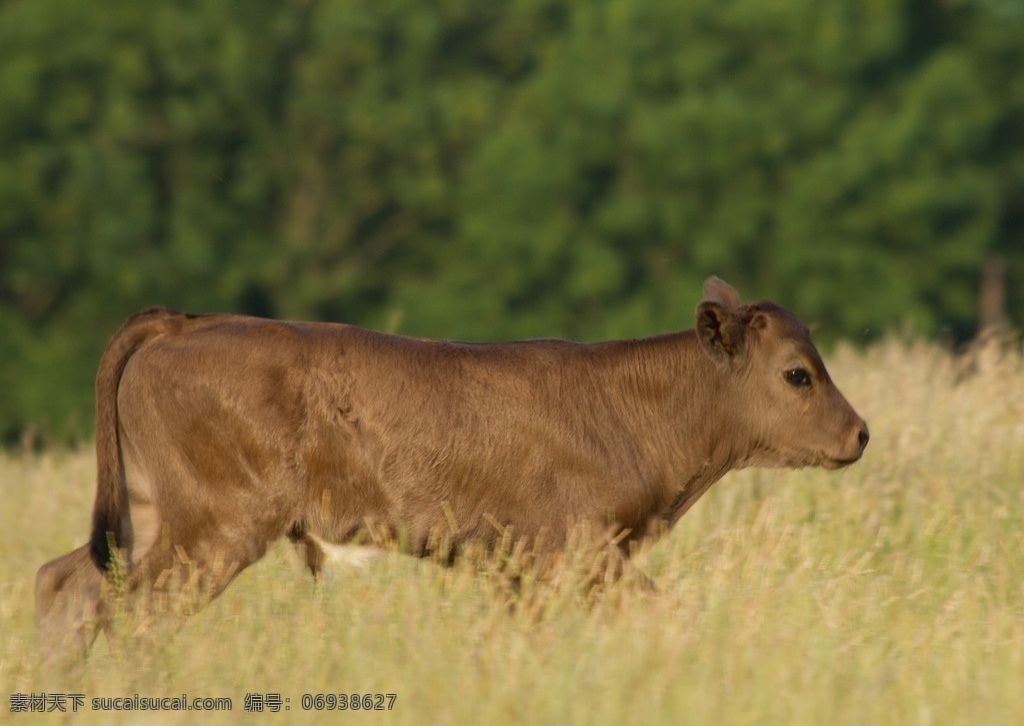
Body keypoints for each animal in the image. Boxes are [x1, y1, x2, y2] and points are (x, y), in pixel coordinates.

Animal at [36, 274, 868, 655]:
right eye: (799, 374)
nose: (860, 433)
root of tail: (182, 321)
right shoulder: (579, 552)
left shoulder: (521, 569)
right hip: (214, 525)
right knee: (122, 606)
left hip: (151, 512)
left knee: (66, 580)